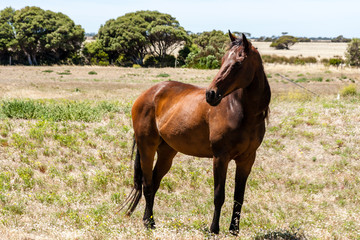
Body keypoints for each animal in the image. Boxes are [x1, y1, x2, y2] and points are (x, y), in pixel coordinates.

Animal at [121, 31, 270, 234]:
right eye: (223, 60)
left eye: (238, 63)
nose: (211, 94)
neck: (241, 111)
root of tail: (148, 93)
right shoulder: (220, 158)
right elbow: (219, 195)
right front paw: (214, 230)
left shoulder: (247, 159)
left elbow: (239, 197)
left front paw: (234, 230)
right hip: (147, 148)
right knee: (148, 184)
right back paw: (148, 223)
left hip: (167, 152)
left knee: (155, 182)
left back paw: (151, 221)